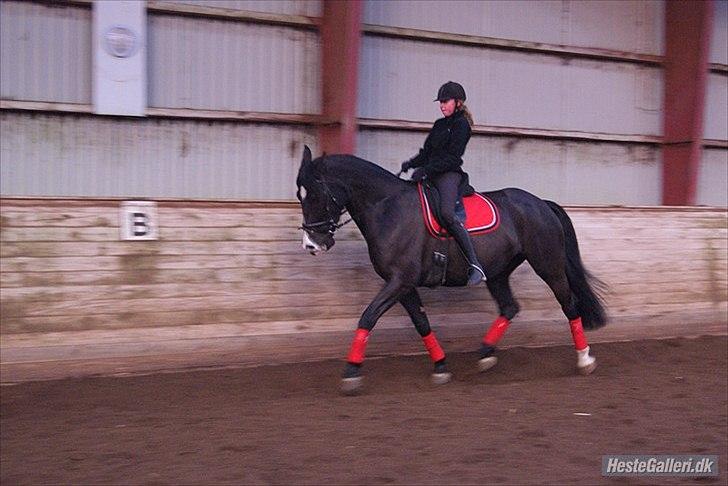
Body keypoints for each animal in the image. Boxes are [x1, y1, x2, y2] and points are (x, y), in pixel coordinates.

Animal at [292, 145, 604, 394]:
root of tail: (541, 203)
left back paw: (585, 359)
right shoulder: (403, 284)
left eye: (316, 195)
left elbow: (368, 317)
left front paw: (351, 373)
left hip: (548, 265)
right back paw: (485, 354)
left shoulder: (400, 280)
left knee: (568, 305)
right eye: (299, 195)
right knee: (509, 307)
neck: (387, 208)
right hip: (498, 272)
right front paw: (441, 366)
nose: (311, 245)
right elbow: (421, 323)